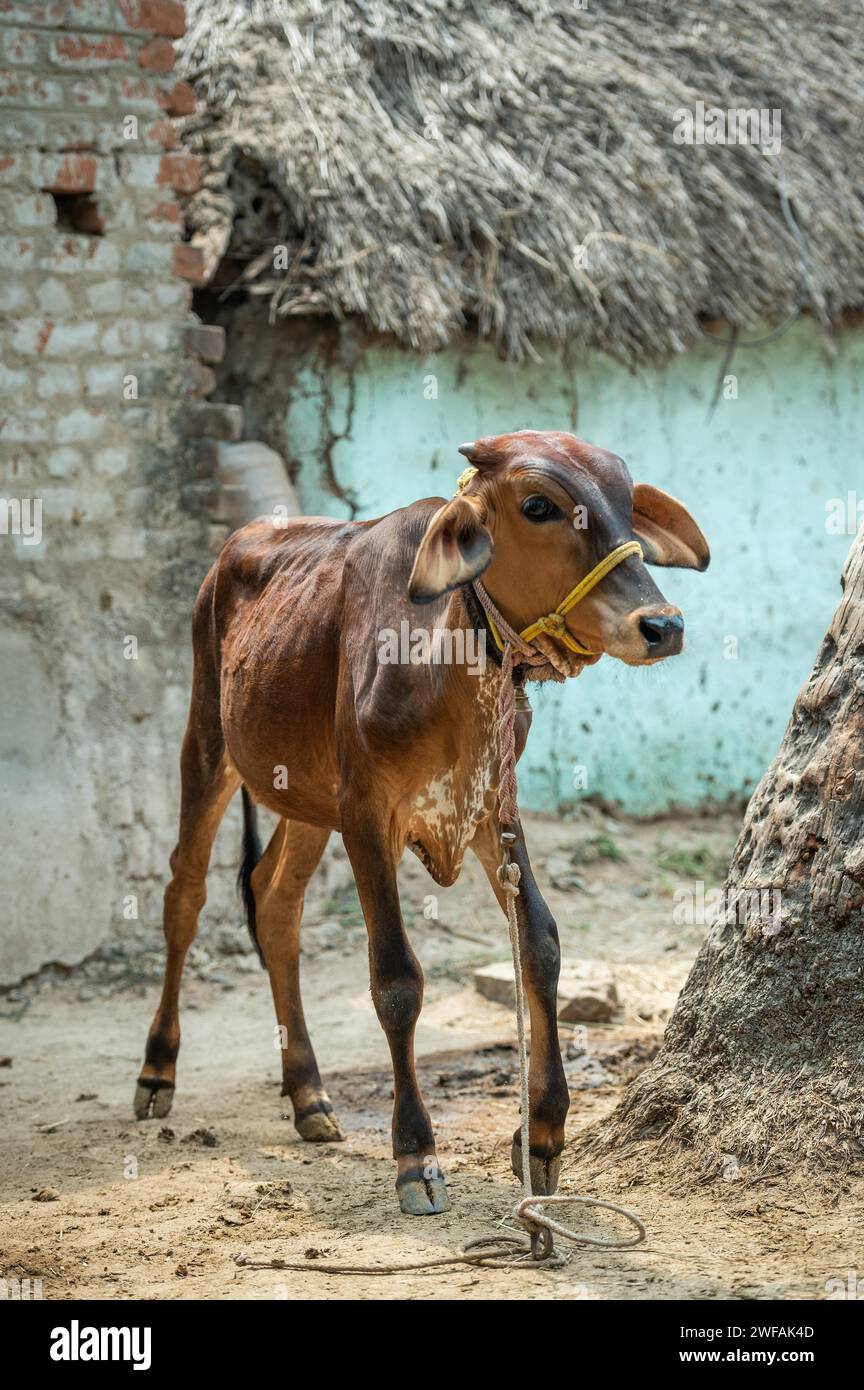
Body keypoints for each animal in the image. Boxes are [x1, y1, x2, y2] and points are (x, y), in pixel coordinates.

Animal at [135, 428, 711, 1212]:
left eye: (626, 503)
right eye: (538, 505)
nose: (662, 625)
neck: (447, 657)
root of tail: (243, 539)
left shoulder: (489, 808)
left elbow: (540, 943)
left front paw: (542, 1135)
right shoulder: (366, 813)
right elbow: (396, 979)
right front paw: (416, 1154)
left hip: (309, 796)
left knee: (275, 900)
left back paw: (308, 1092)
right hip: (209, 741)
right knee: (185, 894)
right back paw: (157, 1071)